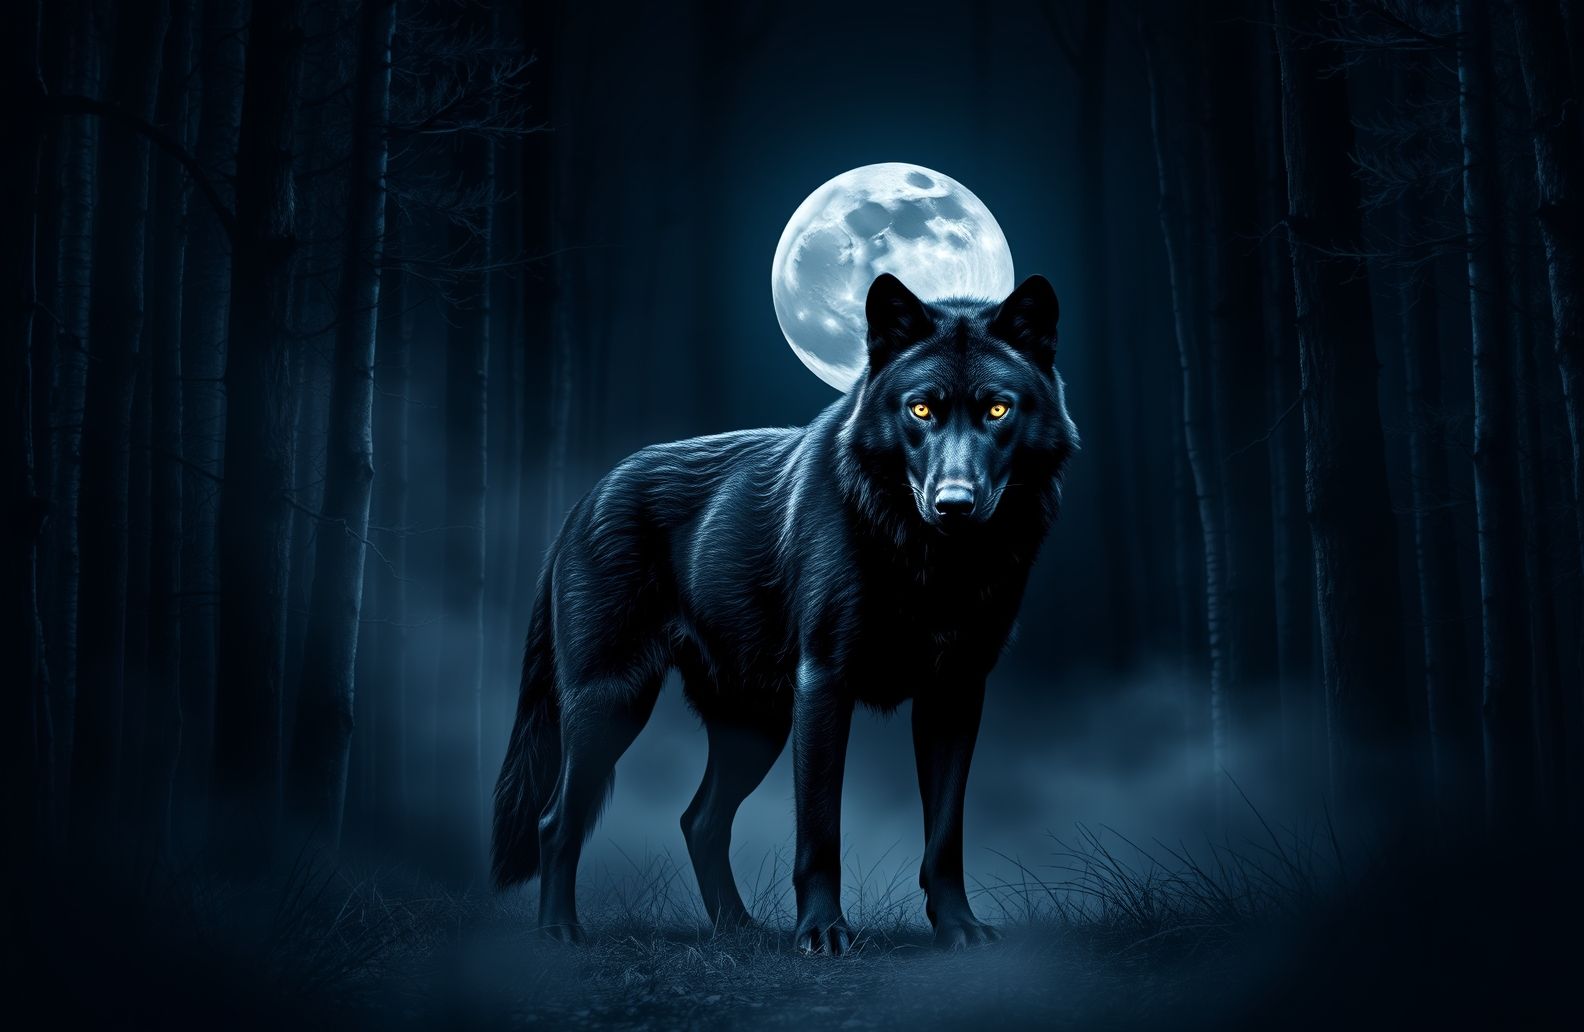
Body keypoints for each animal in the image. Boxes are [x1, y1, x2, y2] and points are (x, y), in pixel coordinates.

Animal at [491, 272, 1078, 953]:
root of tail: (584, 500)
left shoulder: (955, 693)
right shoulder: (823, 683)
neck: (929, 564)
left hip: (753, 726)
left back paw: (738, 931)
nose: (953, 504)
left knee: (699, 820)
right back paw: (560, 932)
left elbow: (945, 836)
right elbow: (820, 829)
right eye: (921, 409)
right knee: (557, 819)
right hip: (613, 704)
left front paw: (959, 929)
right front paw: (823, 933)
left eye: (998, 409)